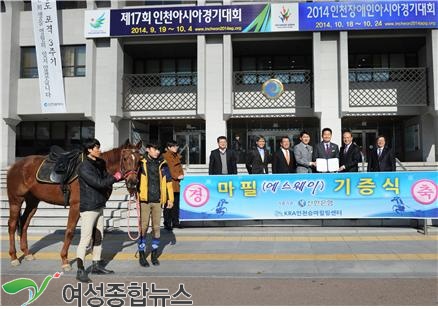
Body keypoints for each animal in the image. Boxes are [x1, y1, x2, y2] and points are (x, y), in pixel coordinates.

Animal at [6, 139, 142, 270]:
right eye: (125, 159)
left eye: (139, 160)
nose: (133, 183)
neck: (98, 169)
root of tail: (16, 166)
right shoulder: (76, 206)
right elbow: (70, 231)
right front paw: (65, 260)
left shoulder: (95, 208)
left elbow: (95, 232)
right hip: (15, 200)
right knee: (12, 225)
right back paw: (13, 257)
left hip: (32, 202)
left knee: (24, 223)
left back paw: (27, 253)